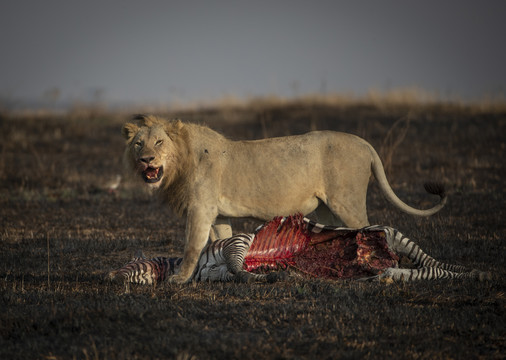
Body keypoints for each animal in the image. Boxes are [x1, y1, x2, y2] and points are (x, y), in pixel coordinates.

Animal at [122, 114, 446, 282]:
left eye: (159, 142)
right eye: (138, 143)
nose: (146, 159)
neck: (179, 163)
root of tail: (364, 143)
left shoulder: (200, 208)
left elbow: (191, 245)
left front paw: (179, 279)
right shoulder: (218, 213)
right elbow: (220, 240)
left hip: (347, 202)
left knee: (370, 230)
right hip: (328, 209)